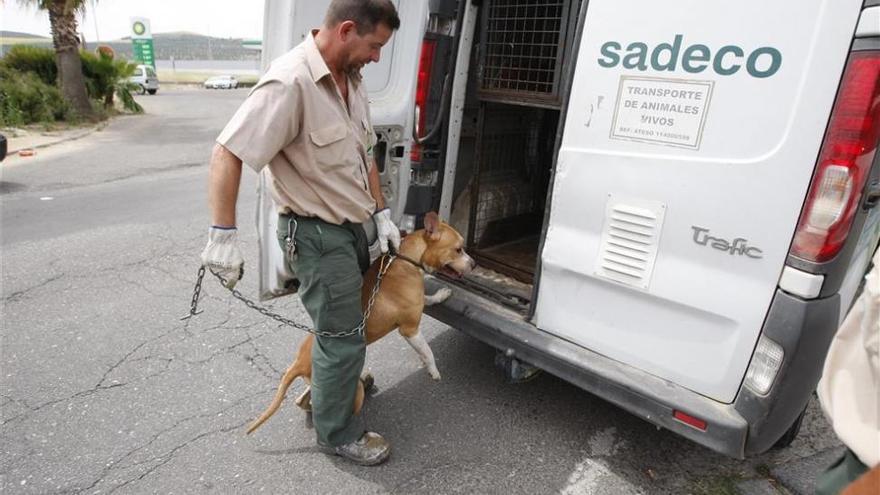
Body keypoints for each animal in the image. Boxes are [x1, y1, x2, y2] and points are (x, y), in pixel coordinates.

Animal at [244, 213, 474, 434]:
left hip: (313, 381)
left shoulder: (418, 305)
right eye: (458, 249)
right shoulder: (410, 329)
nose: (473, 264)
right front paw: (433, 371)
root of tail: (298, 361)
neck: (407, 258)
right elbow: (427, 352)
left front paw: (441, 294)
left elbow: (429, 299)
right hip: (347, 388)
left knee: (303, 400)